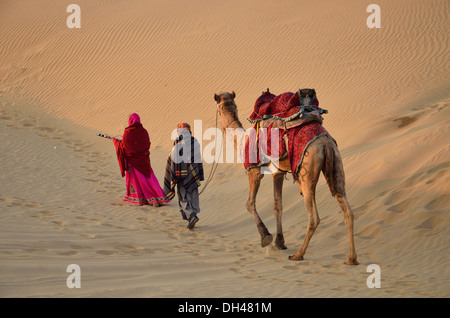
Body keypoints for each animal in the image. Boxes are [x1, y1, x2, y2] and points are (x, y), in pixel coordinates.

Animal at [214, 90, 358, 266]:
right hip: (336, 164)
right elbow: (278, 206)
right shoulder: (279, 173)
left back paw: (298, 255)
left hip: (306, 172)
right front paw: (280, 242)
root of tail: (325, 143)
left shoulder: (254, 170)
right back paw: (352, 259)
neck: (243, 139)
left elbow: (249, 203)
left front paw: (266, 237)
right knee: (347, 209)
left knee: (313, 217)